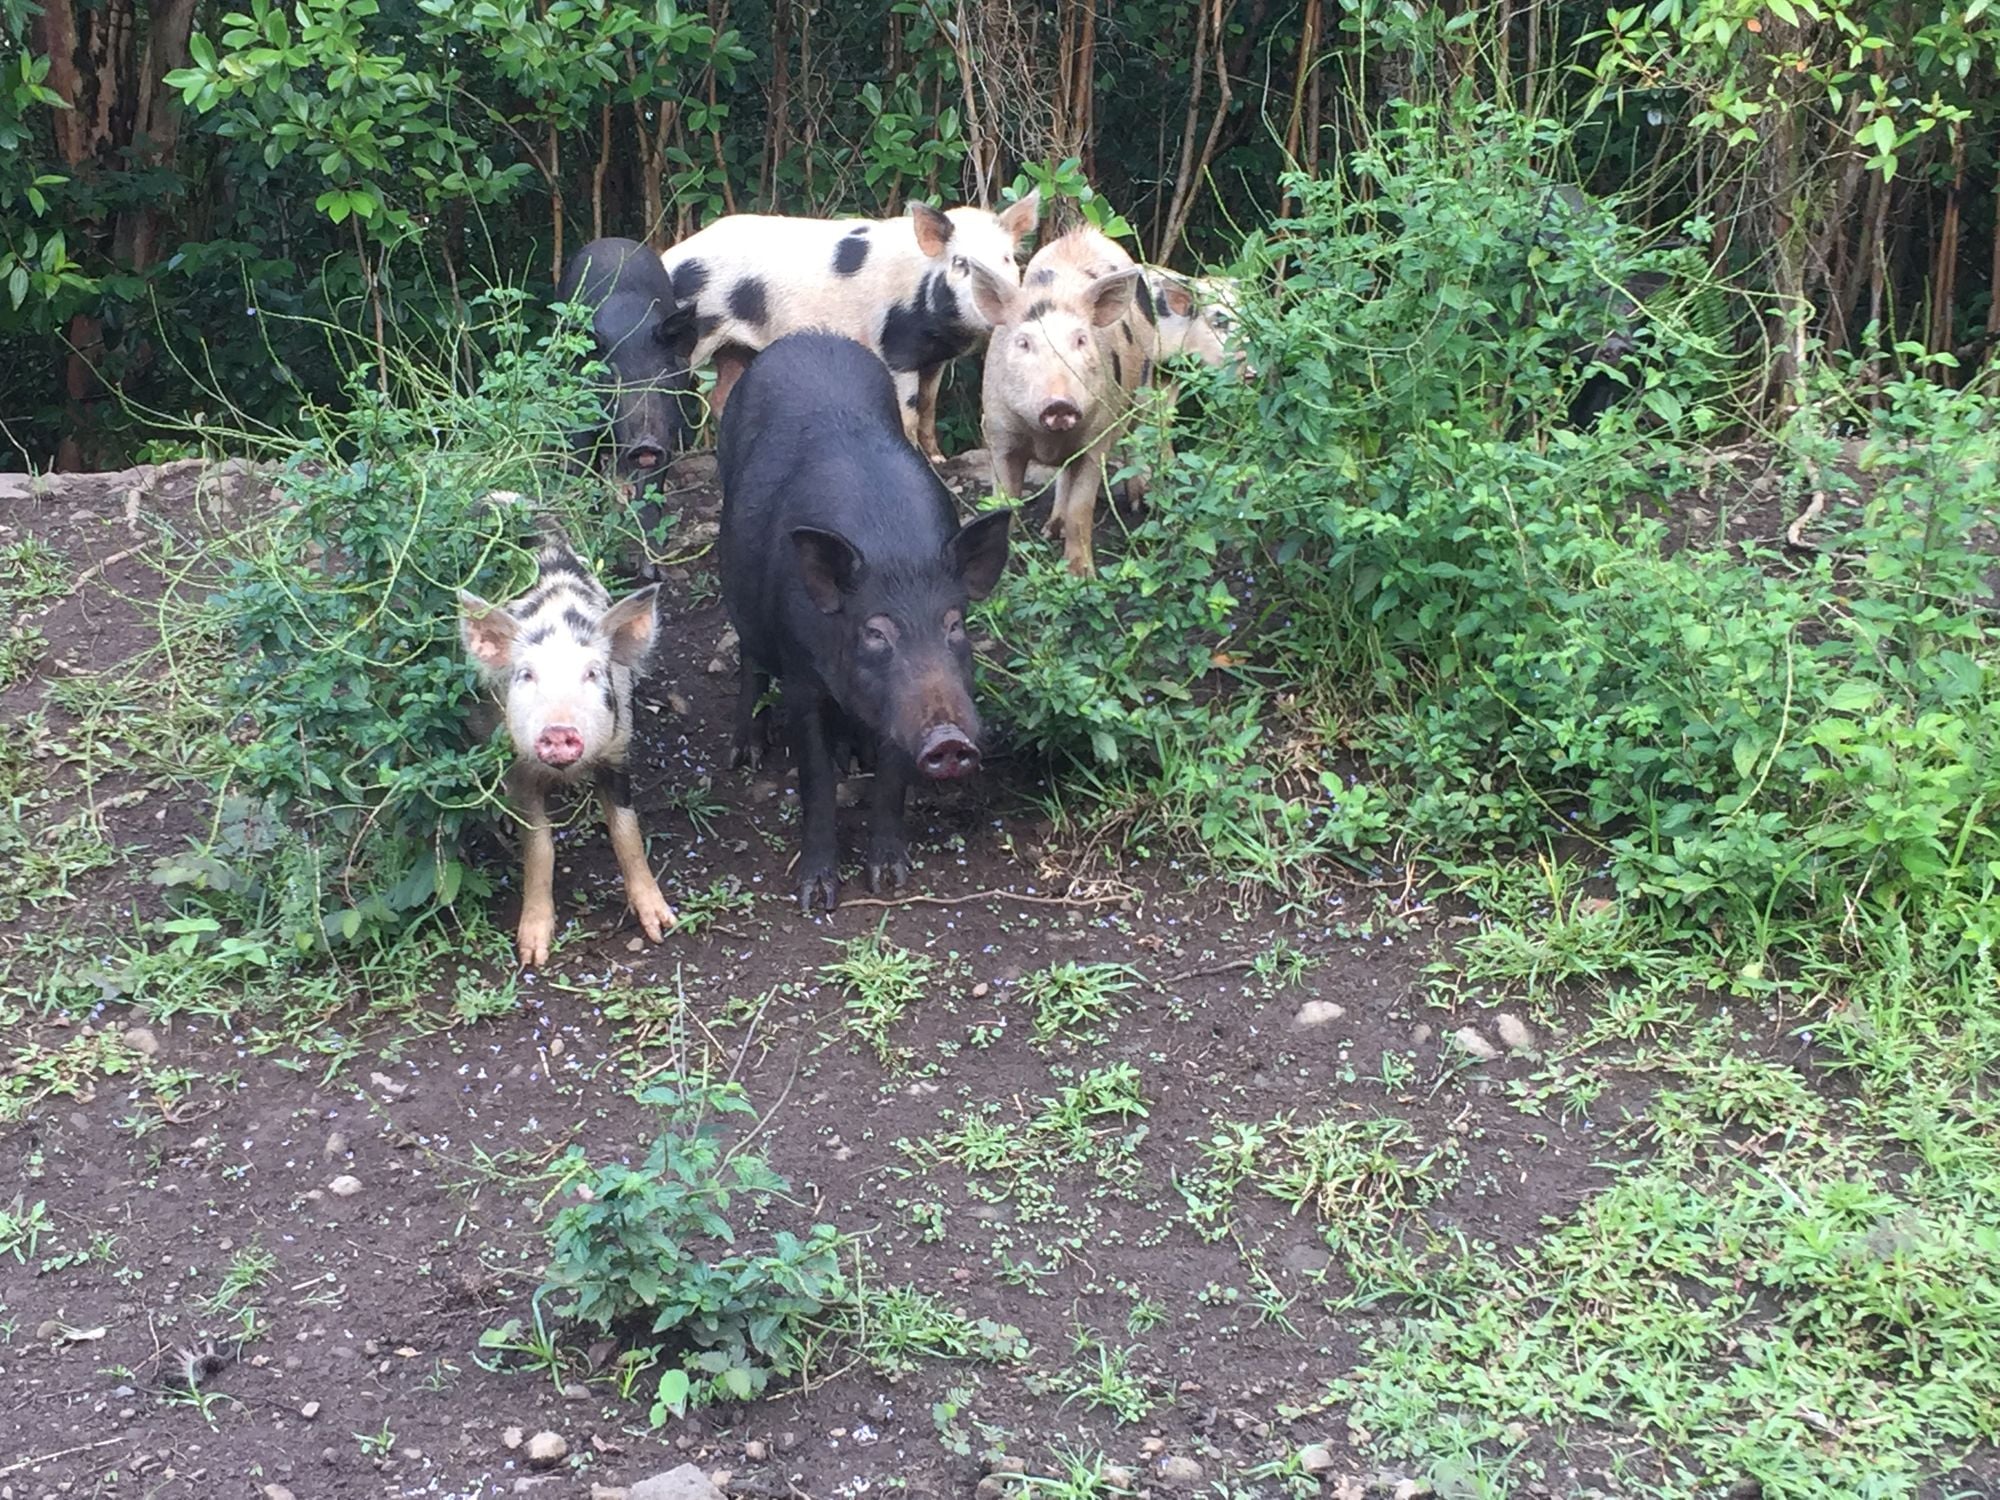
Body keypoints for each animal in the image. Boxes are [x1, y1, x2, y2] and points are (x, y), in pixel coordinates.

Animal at [460, 518, 675, 966]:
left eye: (592, 673)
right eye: (525, 675)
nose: (558, 731)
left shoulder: (618, 749)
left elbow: (627, 832)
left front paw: (662, 927)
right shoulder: (519, 765)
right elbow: (539, 846)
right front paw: (532, 954)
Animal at [554, 237, 696, 486]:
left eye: (663, 377)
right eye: (613, 381)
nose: (645, 444)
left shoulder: (669, 426)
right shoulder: (581, 415)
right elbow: (585, 467)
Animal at [660, 192, 1039, 460]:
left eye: (1007, 258)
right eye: (960, 263)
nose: (996, 299)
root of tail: (668, 258)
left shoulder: (936, 359)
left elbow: (929, 407)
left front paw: (939, 459)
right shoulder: (896, 348)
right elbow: (909, 410)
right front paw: (921, 458)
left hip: (735, 346)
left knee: (722, 394)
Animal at [717, 331, 1012, 912]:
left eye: (954, 624)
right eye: (876, 632)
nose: (948, 739)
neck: (893, 547)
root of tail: (807, 337)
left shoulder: (899, 707)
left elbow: (892, 777)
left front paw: (890, 880)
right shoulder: (801, 673)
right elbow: (815, 781)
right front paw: (816, 898)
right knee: (748, 657)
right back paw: (746, 753)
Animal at [968, 225, 1153, 577]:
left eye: (1081, 340)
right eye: (1023, 343)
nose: (1059, 404)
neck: (1047, 439)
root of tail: (1088, 233)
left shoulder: (1096, 438)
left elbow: (1081, 510)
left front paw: (1082, 576)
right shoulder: (998, 434)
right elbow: (1004, 503)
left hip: (1144, 385)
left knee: (1136, 437)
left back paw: (1140, 504)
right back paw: (1050, 530)